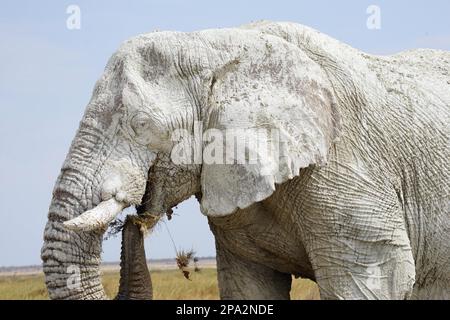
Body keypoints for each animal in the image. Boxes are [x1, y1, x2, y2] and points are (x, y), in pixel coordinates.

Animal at [40, 21, 448, 298]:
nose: (131, 223)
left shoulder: (347, 167)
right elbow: (249, 287)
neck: (216, 45)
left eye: (140, 124)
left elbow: (372, 283)